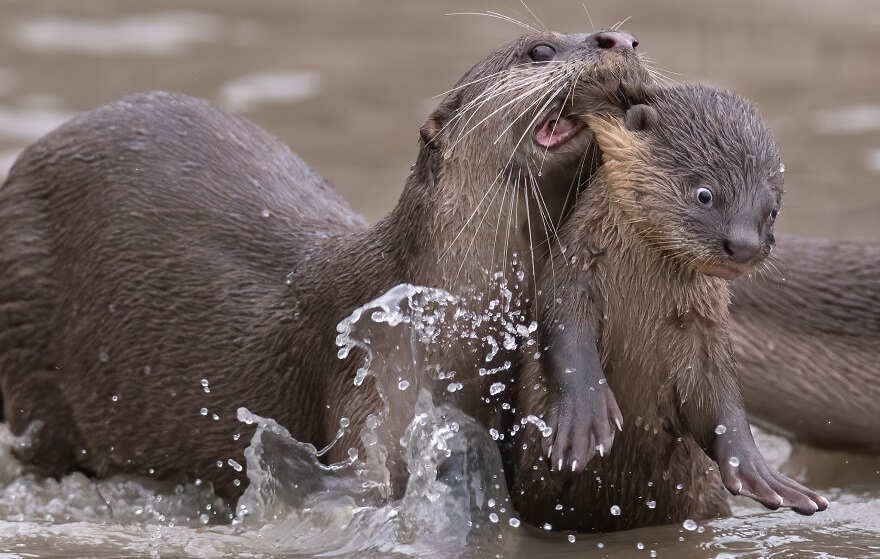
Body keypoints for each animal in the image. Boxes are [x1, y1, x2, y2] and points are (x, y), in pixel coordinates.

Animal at [512, 84, 828, 532]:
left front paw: (758, 471)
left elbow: (721, 399)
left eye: (772, 211)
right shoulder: (571, 275)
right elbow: (565, 337)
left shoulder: (705, 329)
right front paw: (584, 420)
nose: (745, 245)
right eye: (705, 194)